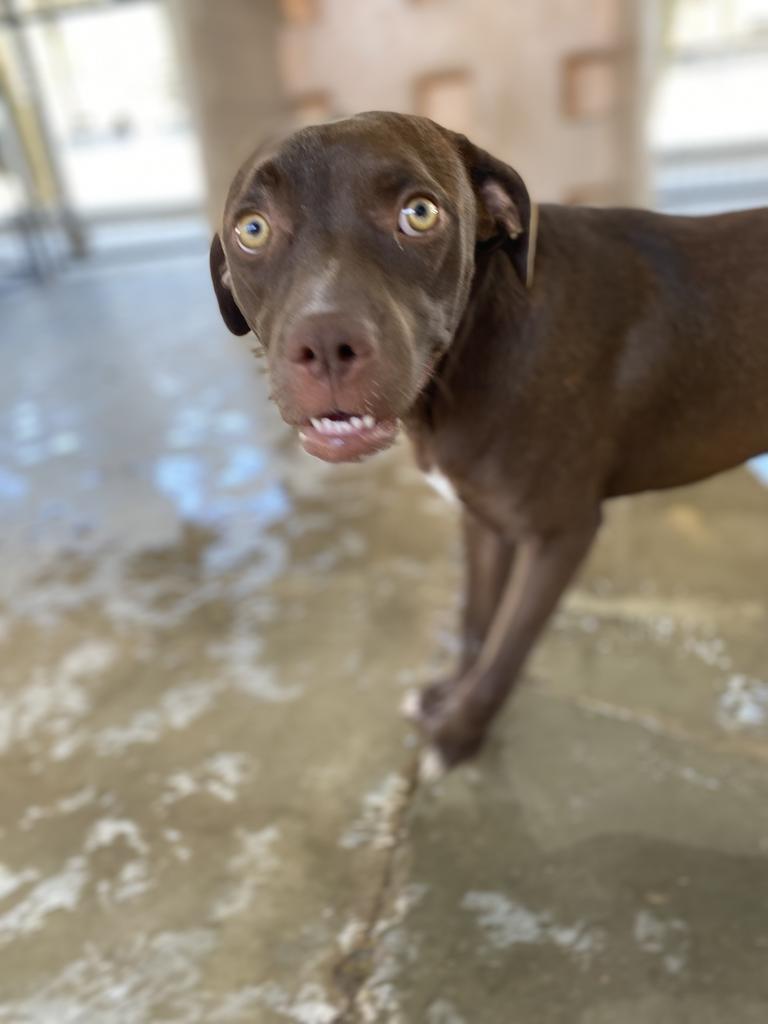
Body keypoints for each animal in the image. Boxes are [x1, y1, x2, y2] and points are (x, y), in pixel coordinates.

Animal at [210, 110, 768, 770]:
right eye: (252, 228)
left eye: (419, 213)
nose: (324, 346)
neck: (473, 351)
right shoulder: (485, 521)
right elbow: (477, 623)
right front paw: (447, 697)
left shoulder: (561, 536)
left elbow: (508, 648)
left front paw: (459, 734)